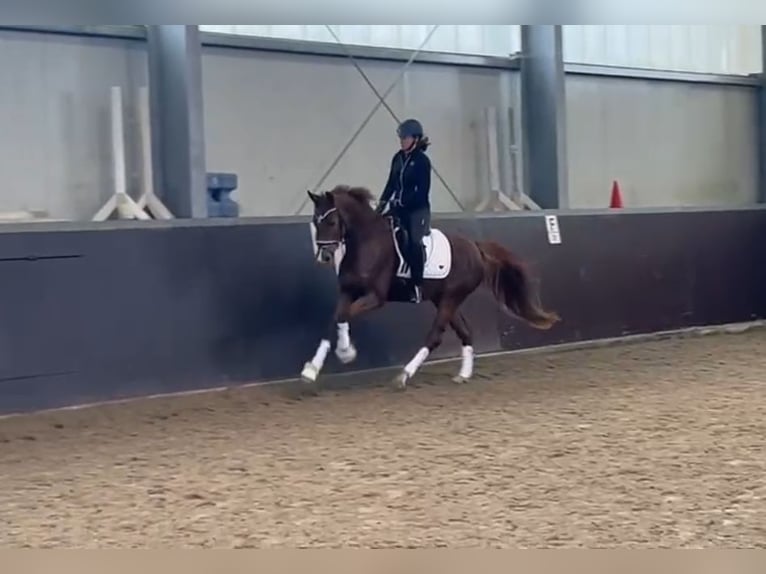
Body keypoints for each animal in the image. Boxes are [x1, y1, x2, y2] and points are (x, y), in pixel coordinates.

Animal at [300, 186, 560, 392]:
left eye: (332, 222)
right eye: (314, 222)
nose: (324, 257)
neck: (366, 243)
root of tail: (475, 247)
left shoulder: (375, 297)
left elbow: (343, 316)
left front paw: (346, 352)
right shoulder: (348, 292)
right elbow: (334, 319)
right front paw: (311, 370)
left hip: (450, 298)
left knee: (435, 336)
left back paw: (404, 376)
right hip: (444, 299)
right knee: (465, 332)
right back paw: (463, 375)